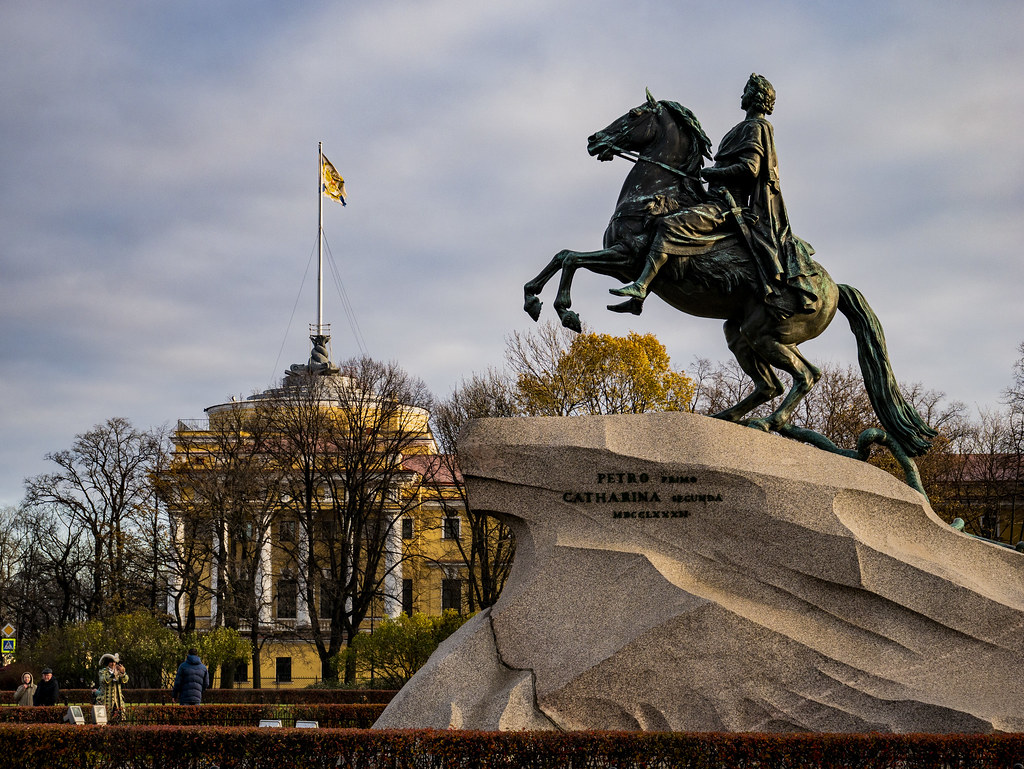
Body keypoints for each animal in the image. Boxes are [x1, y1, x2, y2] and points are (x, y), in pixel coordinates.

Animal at [524, 91, 933, 466]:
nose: (594, 140)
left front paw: (572, 310)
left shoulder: (627, 256)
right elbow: (563, 256)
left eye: (634, 114)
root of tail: (834, 288)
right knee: (775, 382)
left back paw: (764, 423)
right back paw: (724, 418)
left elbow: (574, 258)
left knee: (804, 376)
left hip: (764, 334)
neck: (658, 193)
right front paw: (535, 300)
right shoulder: (618, 259)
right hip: (744, 333)